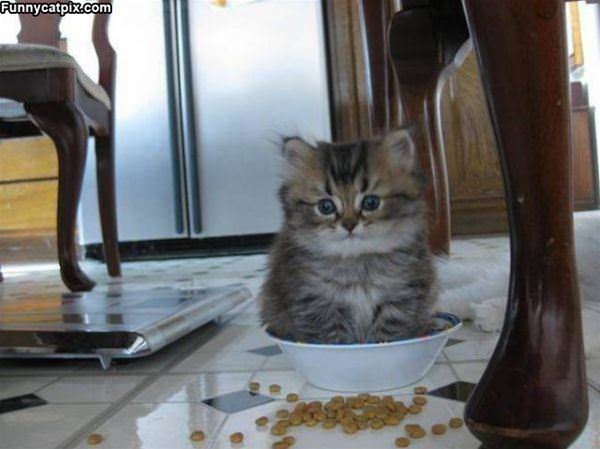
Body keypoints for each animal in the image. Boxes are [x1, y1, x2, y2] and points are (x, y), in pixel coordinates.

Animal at [258, 128, 436, 344]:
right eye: (326, 207)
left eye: (371, 203)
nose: (349, 225)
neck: (357, 264)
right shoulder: (316, 304)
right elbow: (335, 341)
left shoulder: (401, 299)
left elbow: (386, 335)